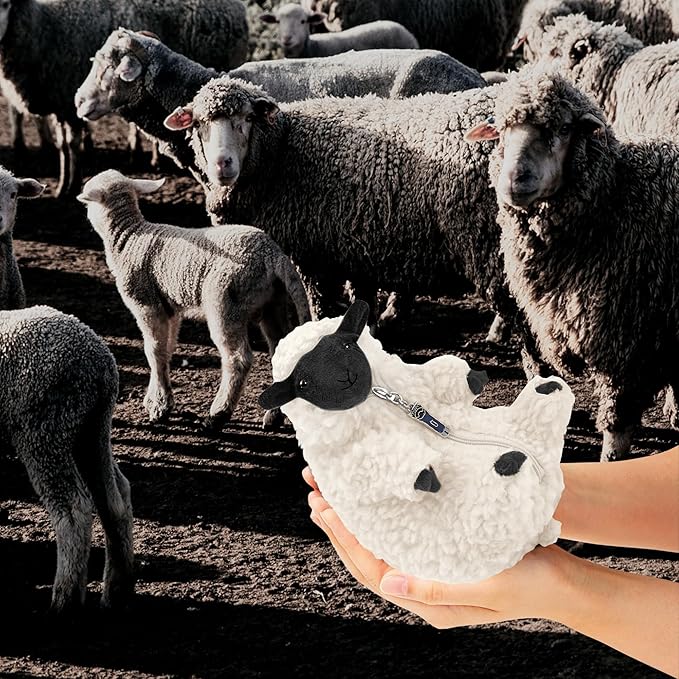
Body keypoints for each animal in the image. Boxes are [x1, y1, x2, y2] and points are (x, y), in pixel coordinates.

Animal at [0, 0, 248, 198]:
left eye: (6, 5)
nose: (78, 100)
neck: (44, 25)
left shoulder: (66, 104)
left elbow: (72, 146)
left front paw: (73, 185)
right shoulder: (61, 104)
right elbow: (63, 147)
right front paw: (62, 186)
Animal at [0, 304, 135, 612]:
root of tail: (100, 363)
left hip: (44, 430)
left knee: (73, 509)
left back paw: (65, 599)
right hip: (91, 430)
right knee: (116, 499)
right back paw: (117, 592)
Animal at [77, 169, 313, 430]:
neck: (129, 239)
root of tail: (272, 254)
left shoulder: (146, 303)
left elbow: (153, 350)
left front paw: (159, 408)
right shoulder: (170, 308)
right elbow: (167, 348)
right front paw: (157, 399)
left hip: (225, 301)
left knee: (238, 358)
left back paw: (219, 414)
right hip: (273, 303)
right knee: (280, 350)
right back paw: (273, 416)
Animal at [465, 68, 679, 461]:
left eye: (563, 128)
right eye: (502, 130)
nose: (514, 179)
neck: (614, 201)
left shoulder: (627, 340)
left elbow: (617, 425)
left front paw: (611, 461)